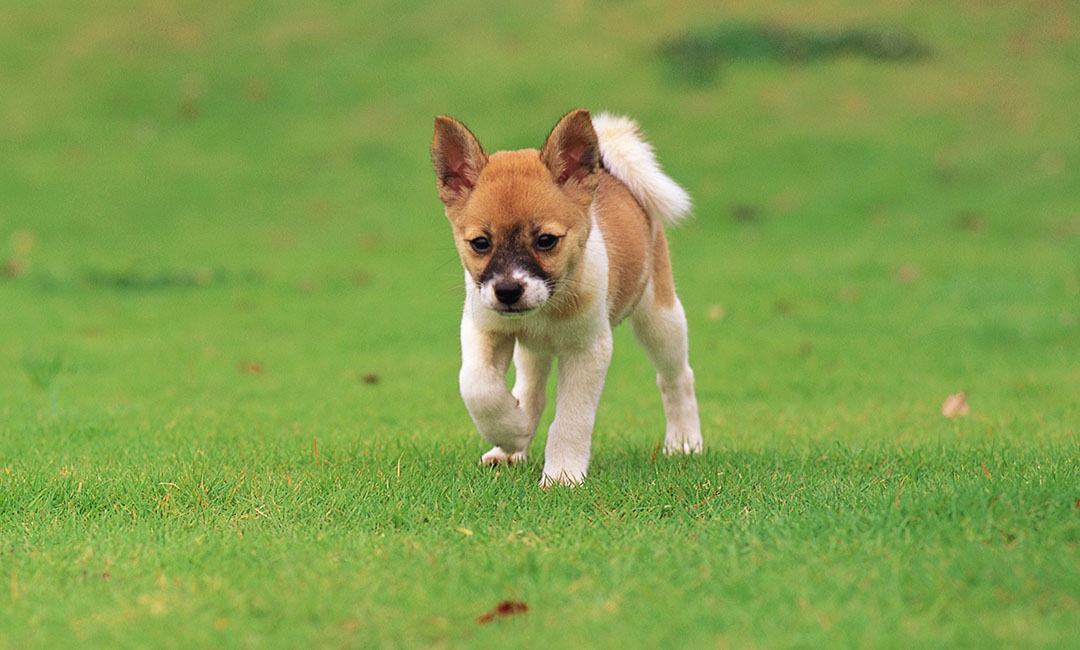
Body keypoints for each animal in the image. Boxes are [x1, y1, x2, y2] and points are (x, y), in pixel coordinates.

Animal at [429, 110, 699, 485]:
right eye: (480, 243)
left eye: (546, 240)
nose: (508, 291)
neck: (546, 308)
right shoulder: (484, 329)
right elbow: (477, 386)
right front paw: (512, 431)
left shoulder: (587, 351)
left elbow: (572, 418)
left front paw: (562, 474)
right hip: (532, 351)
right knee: (530, 391)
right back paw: (511, 445)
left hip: (660, 318)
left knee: (677, 377)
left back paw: (685, 441)